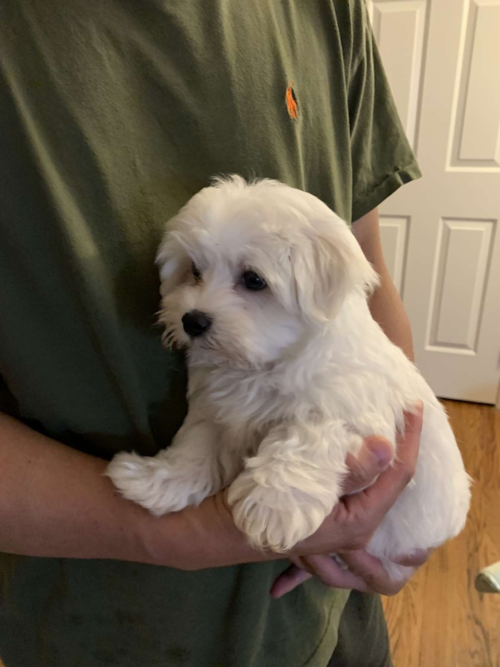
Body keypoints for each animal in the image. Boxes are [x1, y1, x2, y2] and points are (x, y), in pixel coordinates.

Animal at [107, 175, 470, 580]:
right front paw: (154, 481)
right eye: (195, 271)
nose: (193, 320)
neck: (265, 364)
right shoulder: (217, 409)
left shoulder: (356, 415)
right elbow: (196, 446)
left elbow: (309, 434)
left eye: (253, 280)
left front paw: (272, 504)